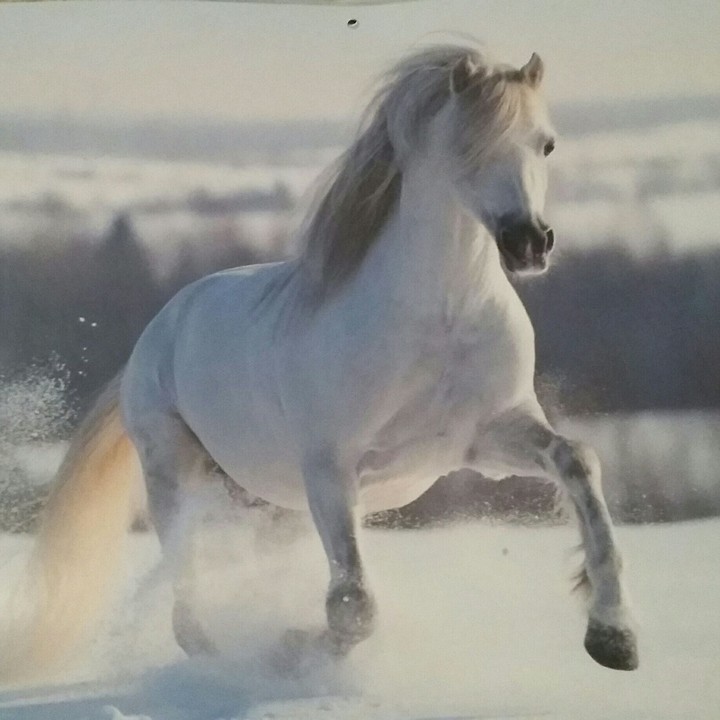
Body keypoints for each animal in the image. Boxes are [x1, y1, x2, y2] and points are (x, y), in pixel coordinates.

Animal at [1, 45, 638, 683]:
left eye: (546, 144)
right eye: (468, 145)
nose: (529, 242)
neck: (439, 319)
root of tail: (158, 330)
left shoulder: (484, 438)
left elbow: (577, 460)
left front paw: (614, 637)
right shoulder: (331, 470)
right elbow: (354, 605)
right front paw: (289, 650)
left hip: (268, 500)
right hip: (175, 473)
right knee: (185, 581)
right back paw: (218, 657)